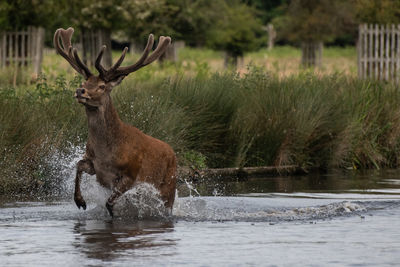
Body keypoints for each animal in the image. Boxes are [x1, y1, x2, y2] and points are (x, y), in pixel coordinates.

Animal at [53, 27, 177, 218]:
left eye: (102, 86)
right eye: (84, 82)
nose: (80, 91)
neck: (106, 154)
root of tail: (174, 154)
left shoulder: (132, 173)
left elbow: (109, 202)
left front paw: (115, 214)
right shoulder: (95, 166)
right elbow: (79, 165)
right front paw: (80, 201)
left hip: (169, 186)